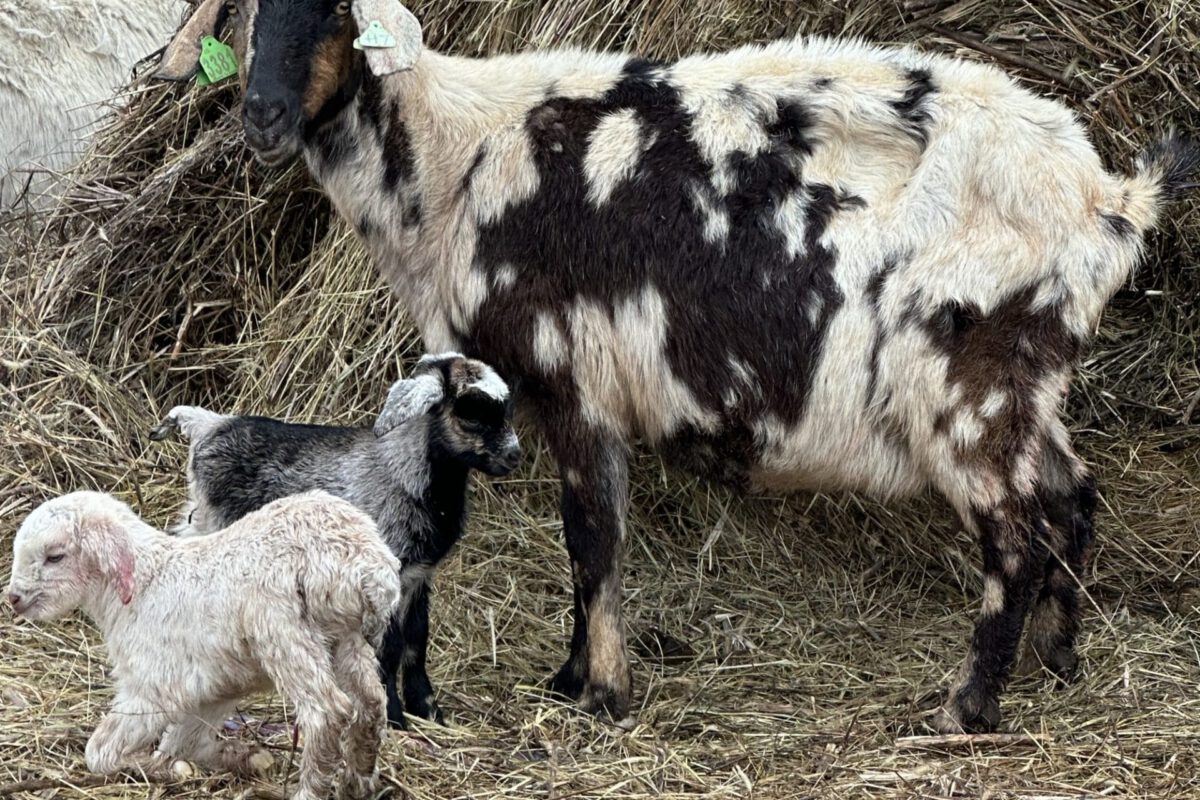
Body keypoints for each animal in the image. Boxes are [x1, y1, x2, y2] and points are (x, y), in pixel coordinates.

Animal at [4, 489, 401, 800]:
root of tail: (368, 566)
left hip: (281, 630)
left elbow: (99, 752)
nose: (13, 598)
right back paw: (357, 780)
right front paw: (244, 759)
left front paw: (160, 768)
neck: (144, 585)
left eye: (55, 556)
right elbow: (187, 742)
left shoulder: (152, 686)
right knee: (370, 702)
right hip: (344, 637)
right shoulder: (215, 688)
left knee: (327, 711)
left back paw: (309, 791)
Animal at [148, 351, 520, 728]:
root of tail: (210, 424)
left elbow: (417, 640)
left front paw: (428, 709)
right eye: (471, 411)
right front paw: (393, 715)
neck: (402, 473)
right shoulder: (389, 573)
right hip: (214, 520)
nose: (513, 455)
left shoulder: (420, 576)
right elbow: (389, 647)